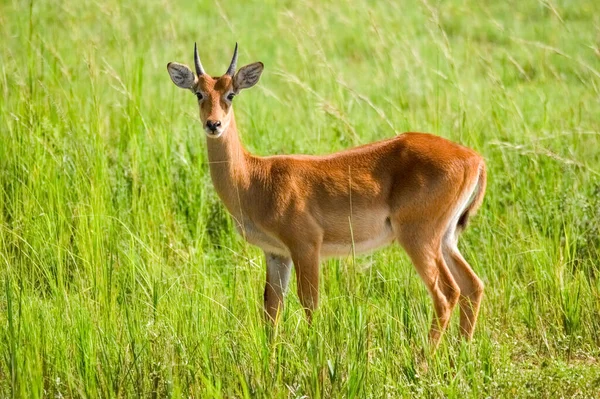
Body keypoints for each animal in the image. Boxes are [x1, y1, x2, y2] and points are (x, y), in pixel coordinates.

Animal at [166, 43, 486, 346]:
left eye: (230, 94)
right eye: (199, 93)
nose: (213, 124)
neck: (255, 178)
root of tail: (473, 158)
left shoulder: (306, 246)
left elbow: (309, 302)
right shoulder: (276, 253)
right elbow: (272, 308)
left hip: (419, 238)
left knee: (446, 294)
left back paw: (423, 360)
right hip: (446, 238)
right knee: (472, 286)